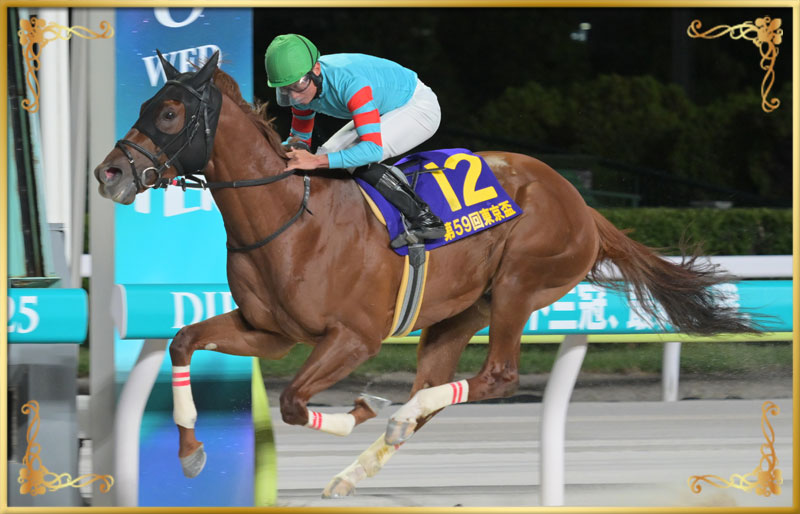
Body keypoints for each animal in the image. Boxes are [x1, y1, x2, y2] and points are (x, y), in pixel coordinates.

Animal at [94, 51, 758, 498]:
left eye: (170, 112)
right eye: (143, 106)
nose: (109, 174)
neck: (289, 218)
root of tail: (580, 202)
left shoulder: (353, 338)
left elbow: (292, 402)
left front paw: (357, 408)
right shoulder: (270, 333)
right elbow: (182, 342)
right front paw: (190, 452)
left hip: (519, 284)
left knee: (496, 377)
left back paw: (391, 416)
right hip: (460, 311)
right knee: (438, 388)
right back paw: (363, 459)